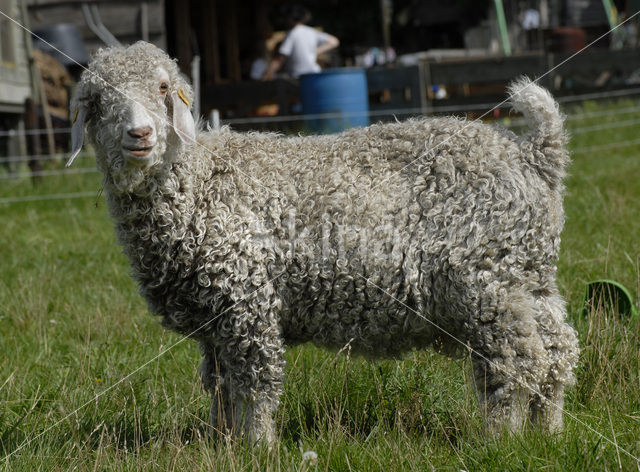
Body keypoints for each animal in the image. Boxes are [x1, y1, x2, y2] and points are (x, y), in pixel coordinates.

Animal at [70, 40, 580, 442]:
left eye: (162, 88)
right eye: (96, 99)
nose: (139, 134)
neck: (201, 184)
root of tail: (533, 154)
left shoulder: (247, 302)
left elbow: (255, 385)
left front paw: (259, 448)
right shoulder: (213, 322)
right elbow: (221, 389)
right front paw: (221, 444)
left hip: (487, 283)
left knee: (517, 360)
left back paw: (500, 439)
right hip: (528, 276)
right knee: (557, 350)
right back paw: (549, 433)